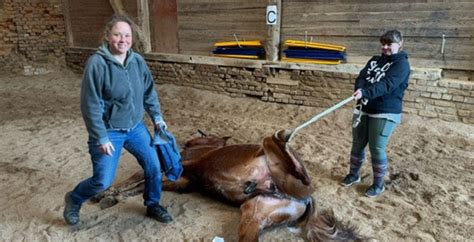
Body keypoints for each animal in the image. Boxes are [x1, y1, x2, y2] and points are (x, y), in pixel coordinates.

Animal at [92, 130, 362, 241]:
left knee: (296, 169)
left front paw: (106, 193)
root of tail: (306, 199)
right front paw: (110, 197)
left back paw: (281, 140)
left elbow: (138, 178)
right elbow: (141, 185)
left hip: (288, 174)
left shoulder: (183, 168)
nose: (186, 142)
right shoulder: (182, 181)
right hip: (256, 212)